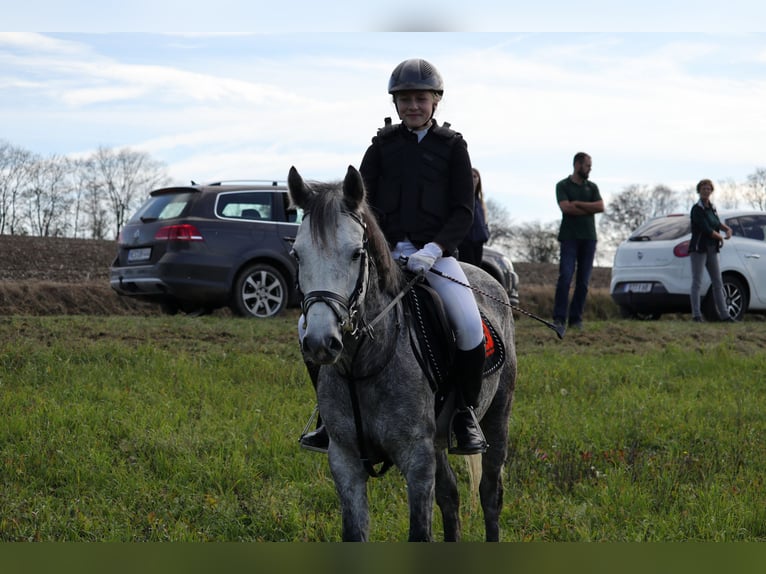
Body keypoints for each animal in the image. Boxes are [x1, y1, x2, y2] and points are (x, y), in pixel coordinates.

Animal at [292, 168, 520, 544]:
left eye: (357, 253)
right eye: (297, 254)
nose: (321, 342)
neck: (365, 363)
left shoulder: (416, 457)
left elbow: (420, 532)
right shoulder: (345, 459)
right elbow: (355, 533)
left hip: (497, 416)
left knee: (490, 494)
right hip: (438, 439)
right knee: (451, 495)